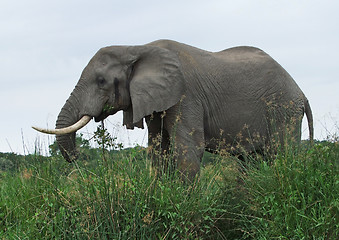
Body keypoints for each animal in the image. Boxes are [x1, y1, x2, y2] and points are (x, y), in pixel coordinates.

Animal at [33, 39, 314, 182]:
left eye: (101, 81)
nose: (77, 158)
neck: (137, 47)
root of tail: (301, 93)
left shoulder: (185, 95)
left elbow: (188, 150)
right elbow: (159, 150)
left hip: (284, 110)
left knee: (281, 154)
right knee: (252, 159)